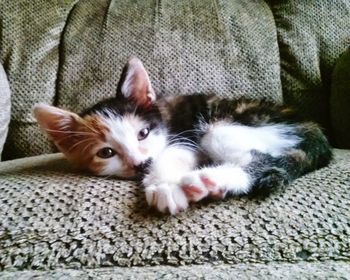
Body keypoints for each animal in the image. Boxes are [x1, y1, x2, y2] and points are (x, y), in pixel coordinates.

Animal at [34, 57, 332, 214]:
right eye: (106, 152)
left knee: (259, 158)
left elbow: (171, 155)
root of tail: (314, 128)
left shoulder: (185, 136)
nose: (140, 163)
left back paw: (210, 179)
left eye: (143, 133)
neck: (164, 119)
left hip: (226, 127)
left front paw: (164, 186)